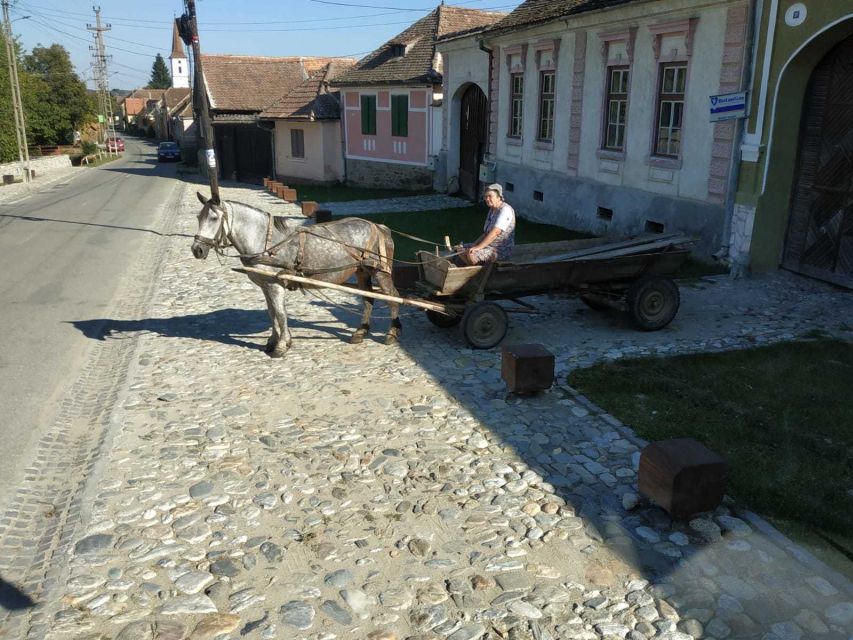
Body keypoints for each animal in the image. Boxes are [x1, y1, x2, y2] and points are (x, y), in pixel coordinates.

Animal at [192, 192, 402, 358]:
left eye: (214, 218)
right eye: (198, 217)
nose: (197, 250)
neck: (266, 241)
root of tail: (380, 227)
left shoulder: (275, 285)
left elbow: (280, 314)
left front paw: (282, 346)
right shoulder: (265, 286)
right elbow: (271, 313)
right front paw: (273, 341)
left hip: (380, 272)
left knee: (393, 297)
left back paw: (392, 333)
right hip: (361, 272)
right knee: (368, 299)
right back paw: (360, 332)